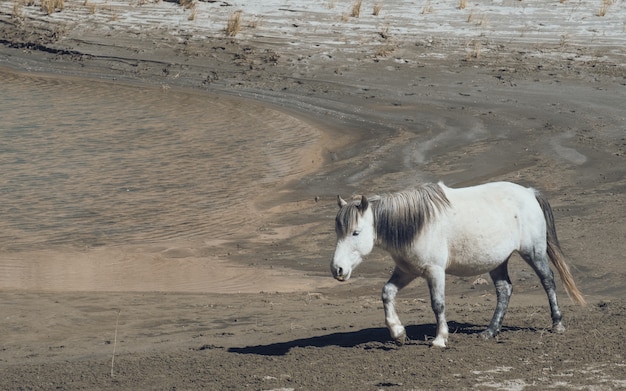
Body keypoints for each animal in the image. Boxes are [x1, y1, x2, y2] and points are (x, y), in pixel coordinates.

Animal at [332, 182, 584, 348]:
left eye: (355, 232)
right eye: (338, 232)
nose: (337, 269)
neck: (417, 224)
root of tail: (530, 193)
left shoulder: (434, 271)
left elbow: (438, 304)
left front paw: (440, 339)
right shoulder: (407, 271)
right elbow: (386, 293)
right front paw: (398, 332)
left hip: (533, 252)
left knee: (548, 280)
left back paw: (557, 324)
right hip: (498, 261)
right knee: (504, 290)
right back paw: (490, 332)